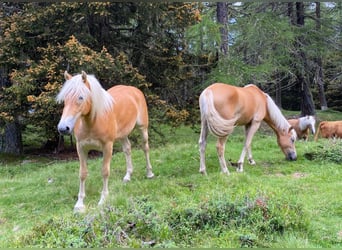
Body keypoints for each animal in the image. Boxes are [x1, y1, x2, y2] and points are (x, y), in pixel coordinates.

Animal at [56, 71, 154, 213]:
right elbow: (82, 173)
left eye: (80, 97)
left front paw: (103, 200)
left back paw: (150, 173)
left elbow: (105, 171)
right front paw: (79, 204)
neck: (92, 122)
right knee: (127, 149)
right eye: (65, 99)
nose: (63, 128)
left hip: (142, 128)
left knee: (145, 148)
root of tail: (133, 89)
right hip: (122, 134)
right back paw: (127, 176)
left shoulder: (107, 147)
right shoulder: (81, 148)